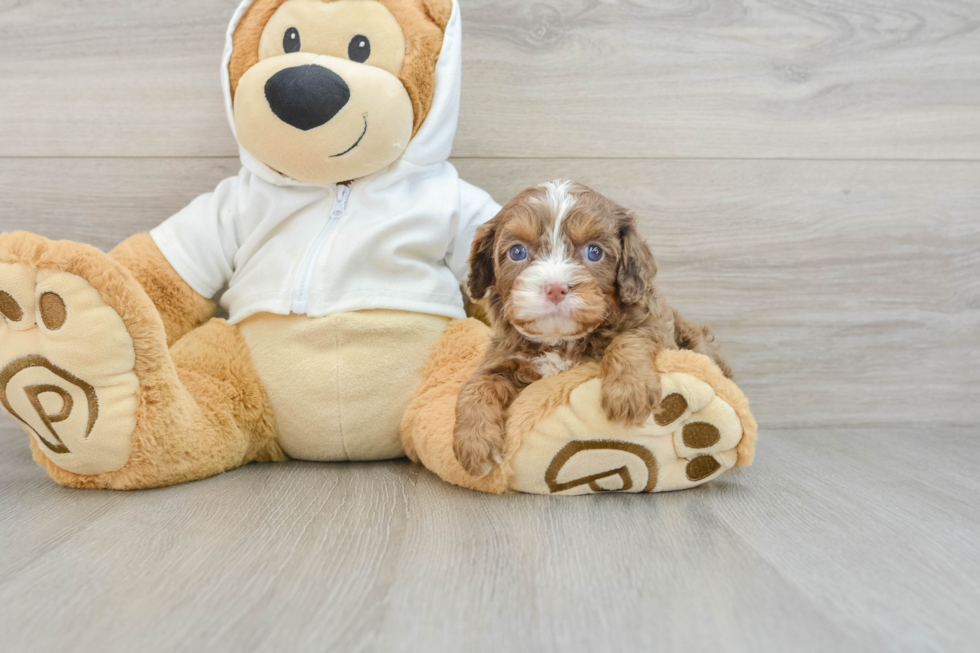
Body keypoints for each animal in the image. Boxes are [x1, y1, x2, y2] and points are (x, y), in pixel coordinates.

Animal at [452, 178, 728, 474]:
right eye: (517, 251)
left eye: (594, 252)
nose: (555, 288)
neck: (561, 339)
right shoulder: (502, 354)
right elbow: (477, 383)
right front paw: (474, 443)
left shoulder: (655, 325)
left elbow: (629, 339)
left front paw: (628, 391)